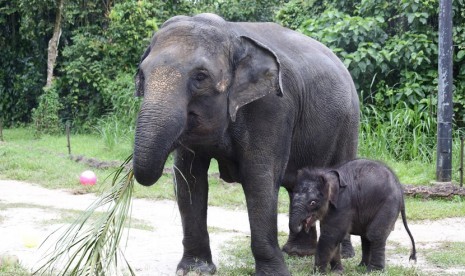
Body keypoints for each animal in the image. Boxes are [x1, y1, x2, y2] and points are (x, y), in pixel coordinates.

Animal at [132, 13, 358, 276]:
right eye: (142, 75)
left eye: (200, 77)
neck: (231, 34)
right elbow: (189, 179)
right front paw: (195, 269)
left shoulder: (272, 106)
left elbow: (259, 177)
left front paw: (274, 273)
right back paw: (298, 253)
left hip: (349, 122)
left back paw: (343, 254)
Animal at [288, 158, 416, 272]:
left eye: (313, 203)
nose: (302, 224)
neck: (328, 175)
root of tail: (400, 188)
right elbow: (334, 237)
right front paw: (337, 271)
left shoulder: (343, 203)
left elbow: (331, 235)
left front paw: (318, 273)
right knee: (366, 237)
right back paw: (362, 267)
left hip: (388, 205)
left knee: (374, 234)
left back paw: (373, 271)